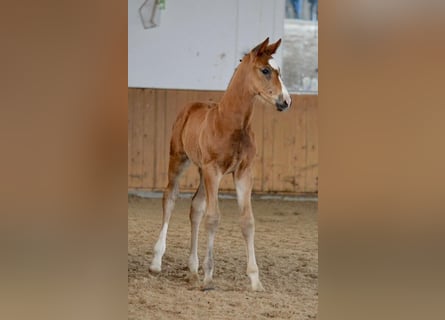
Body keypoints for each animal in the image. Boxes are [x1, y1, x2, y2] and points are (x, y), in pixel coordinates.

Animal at [147, 37, 290, 290]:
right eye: (265, 70)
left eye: (279, 71)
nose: (286, 101)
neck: (231, 123)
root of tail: (190, 106)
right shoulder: (213, 170)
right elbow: (213, 218)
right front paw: (208, 277)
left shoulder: (243, 173)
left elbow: (247, 222)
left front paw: (255, 280)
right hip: (179, 160)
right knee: (170, 198)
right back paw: (157, 262)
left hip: (202, 171)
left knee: (196, 208)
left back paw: (193, 269)